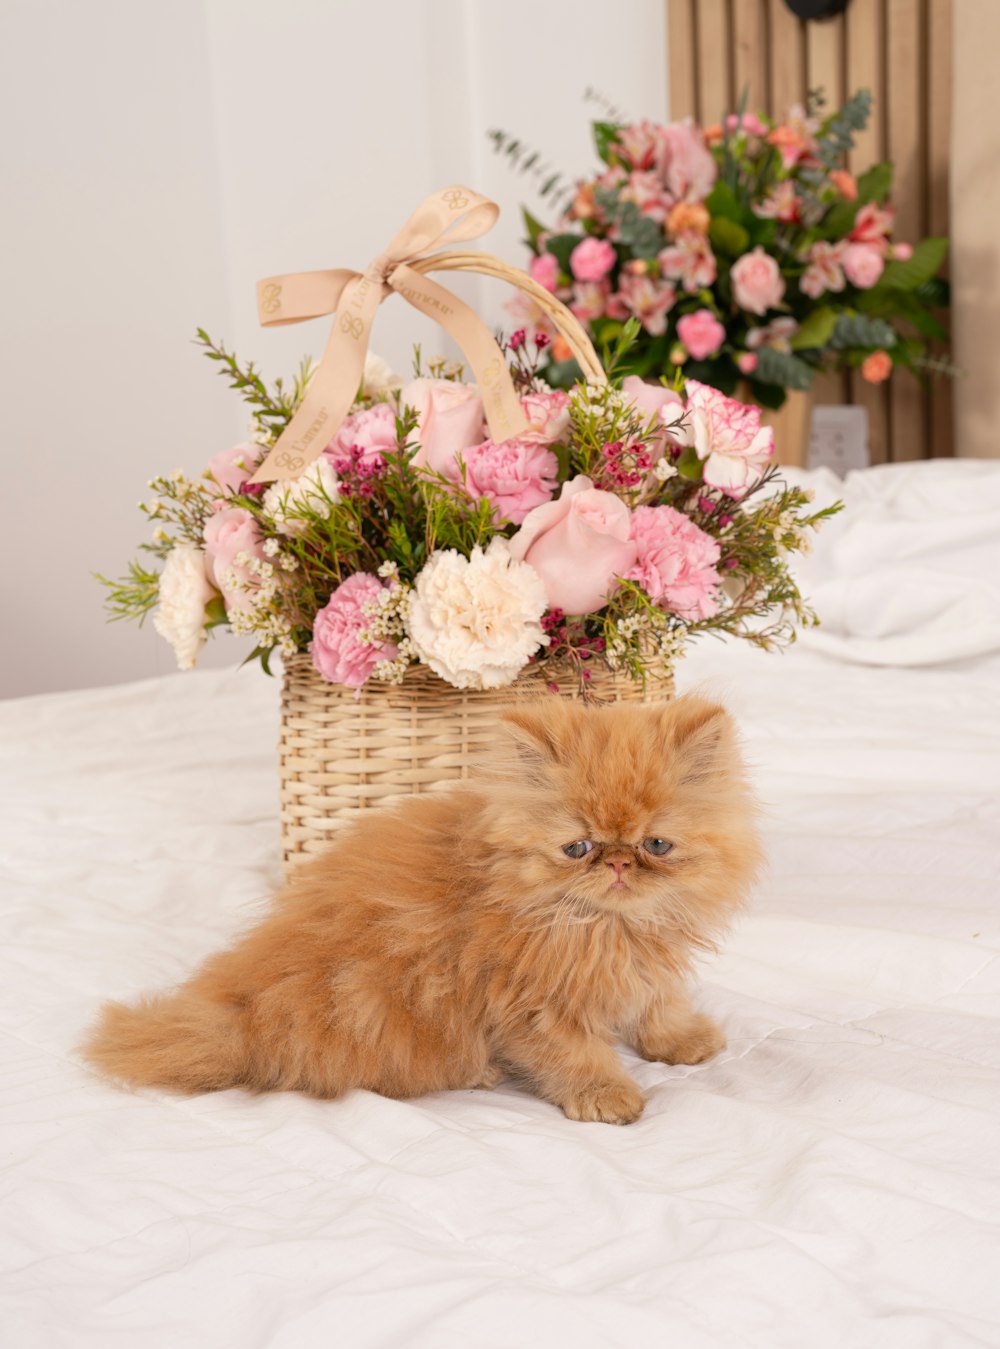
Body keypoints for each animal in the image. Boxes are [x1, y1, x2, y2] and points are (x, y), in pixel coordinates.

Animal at [84, 696, 755, 1127]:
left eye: (656, 846)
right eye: (578, 848)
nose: (616, 863)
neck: (604, 928)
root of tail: (241, 1015)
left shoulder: (646, 965)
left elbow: (658, 1004)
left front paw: (683, 1041)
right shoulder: (532, 1002)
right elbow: (577, 1054)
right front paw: (608, 1096)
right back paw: (479, 1075)